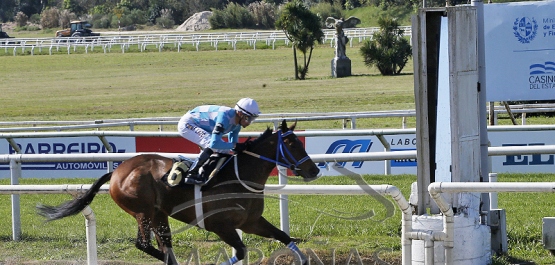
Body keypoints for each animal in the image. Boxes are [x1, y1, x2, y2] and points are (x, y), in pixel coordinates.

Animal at [37, 120, 322, 264]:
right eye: (292, 143)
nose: (314, 170)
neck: (240, 178)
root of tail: (118, 171)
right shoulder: (220, 225)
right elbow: (240, 251)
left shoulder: (251, 222)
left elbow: (284, 236)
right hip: (142, 211)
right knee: (145, 244)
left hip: (158, 214)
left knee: (163, 246)